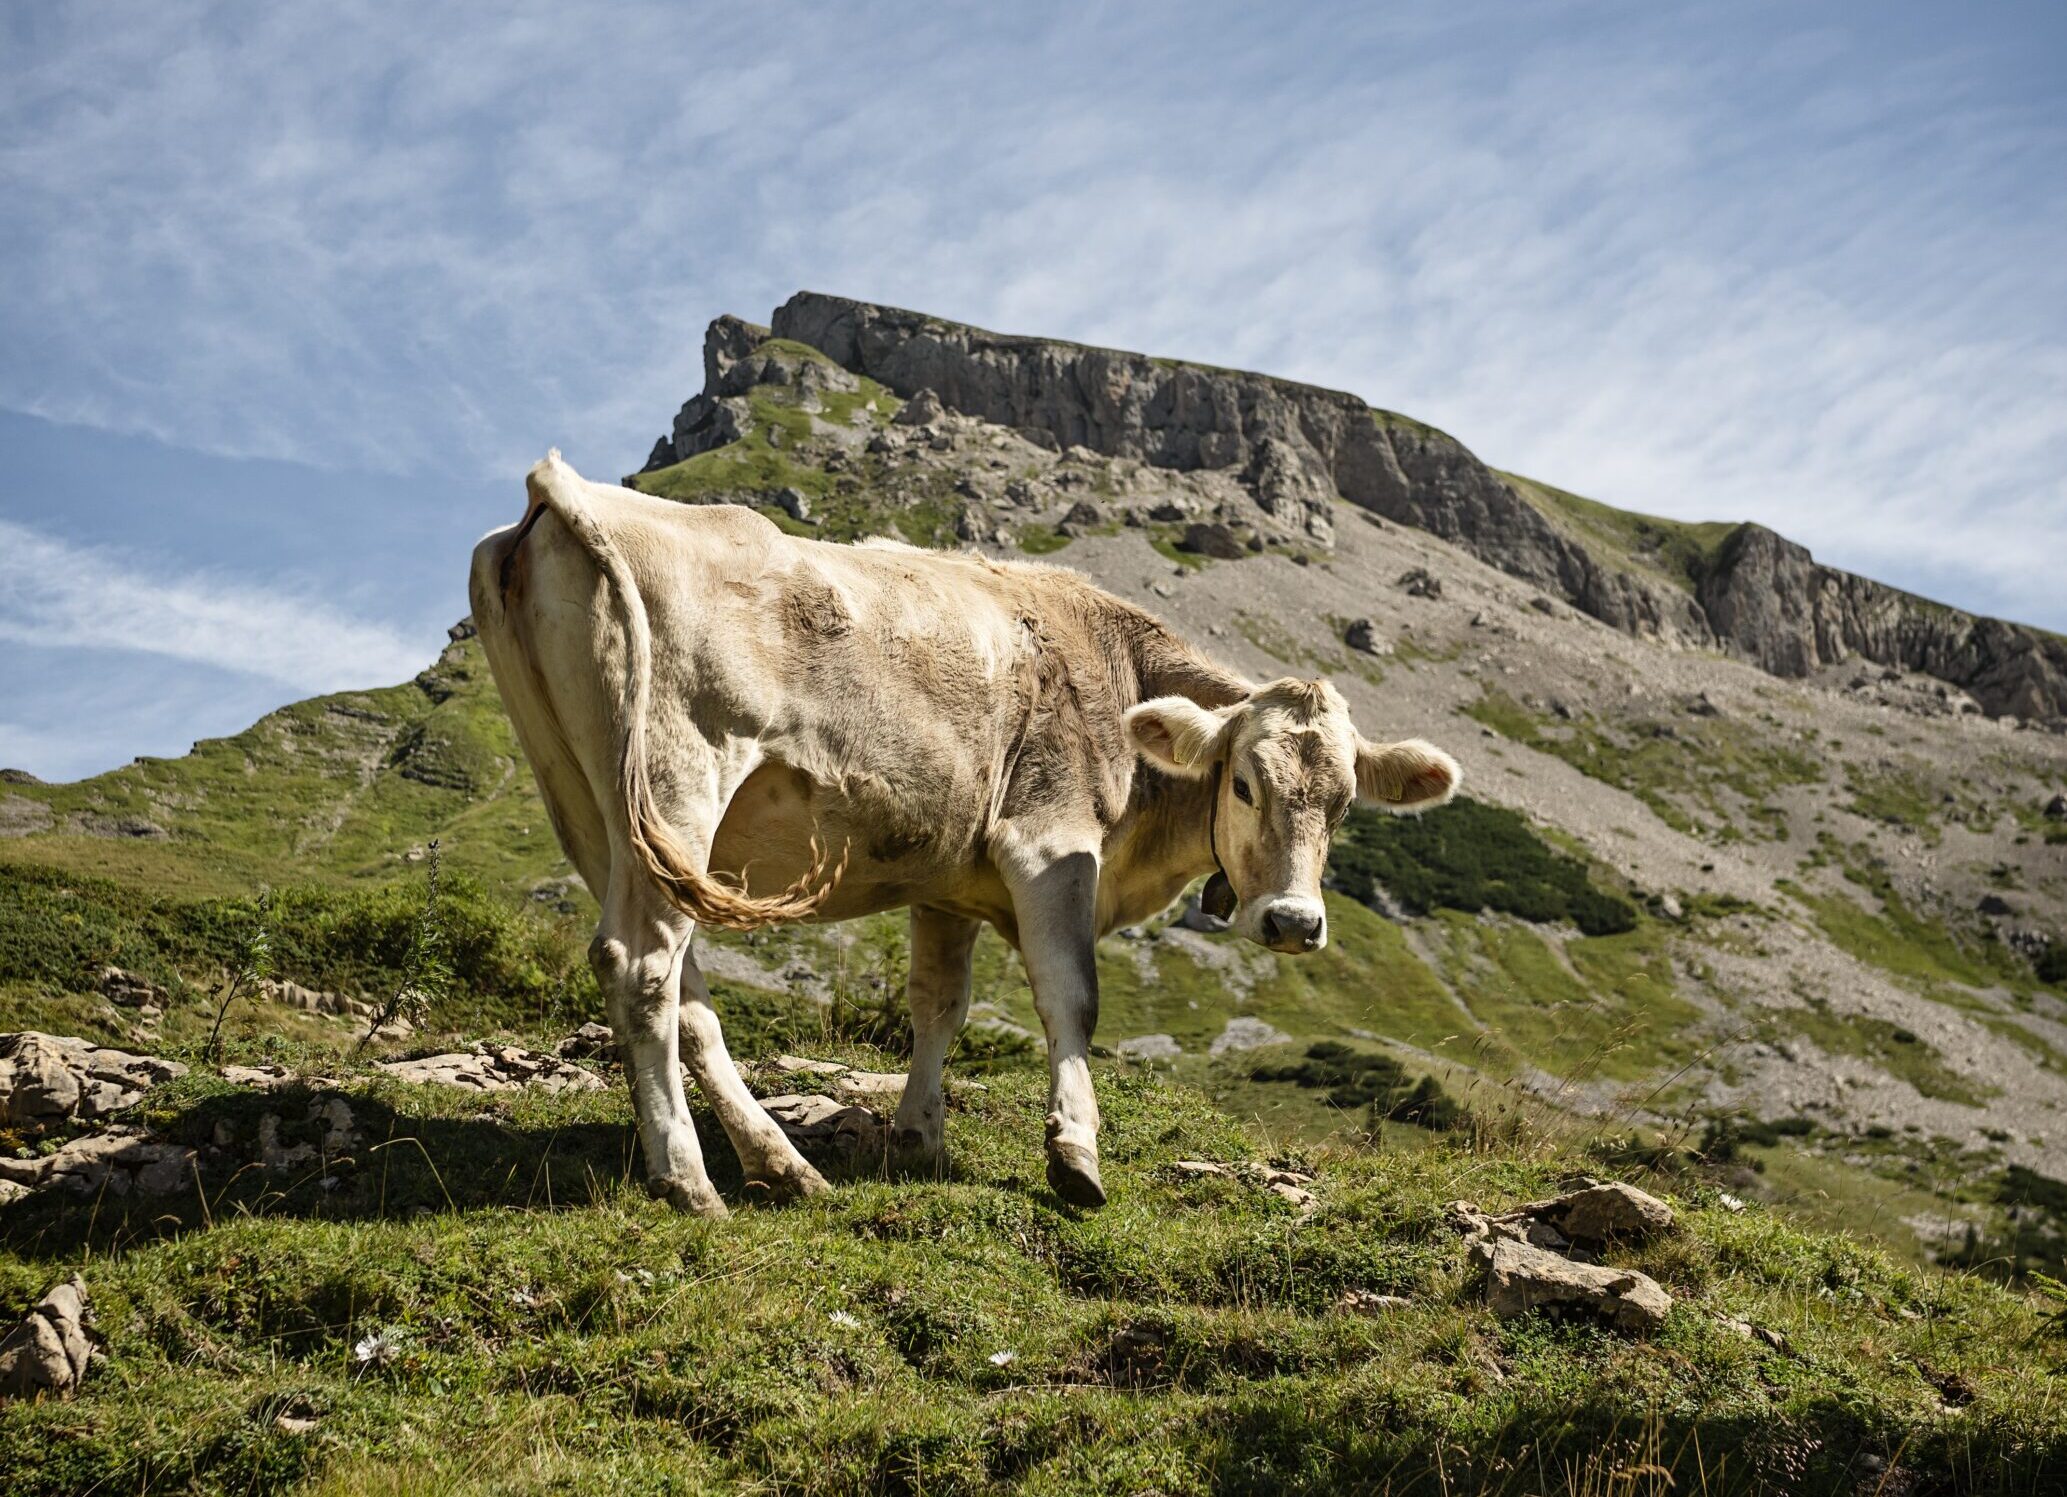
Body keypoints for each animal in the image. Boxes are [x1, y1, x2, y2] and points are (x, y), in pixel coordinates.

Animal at [473, 450, 1471, 1207]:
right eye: (1242, 783)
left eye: (1343, 803)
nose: (1294, 923)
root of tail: (566, 492)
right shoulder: (1051, 843)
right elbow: (1072, 997)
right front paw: (1075, 1154)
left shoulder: (944, 880)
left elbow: (936, 1002)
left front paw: (919, 1135)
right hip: (681, 777)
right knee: (644, 965)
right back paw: (688, 1180)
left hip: (595, 808)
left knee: (681, 987)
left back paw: (780, 1165)